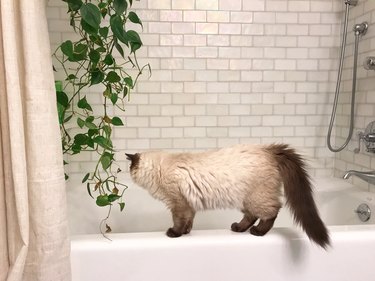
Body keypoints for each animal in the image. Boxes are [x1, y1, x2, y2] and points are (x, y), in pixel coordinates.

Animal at [127, 143, 332, 248]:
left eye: (130, 168)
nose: (127, 174)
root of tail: (268, 150)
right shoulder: (188, 206)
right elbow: (189, 222)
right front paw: (185, 233)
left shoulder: (178, 204)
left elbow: (179, 222)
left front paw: (174, 234)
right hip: (246, 200)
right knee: (251, 215)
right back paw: (238, 228)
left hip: (257, 198)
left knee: (272, 212)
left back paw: (258, 232)